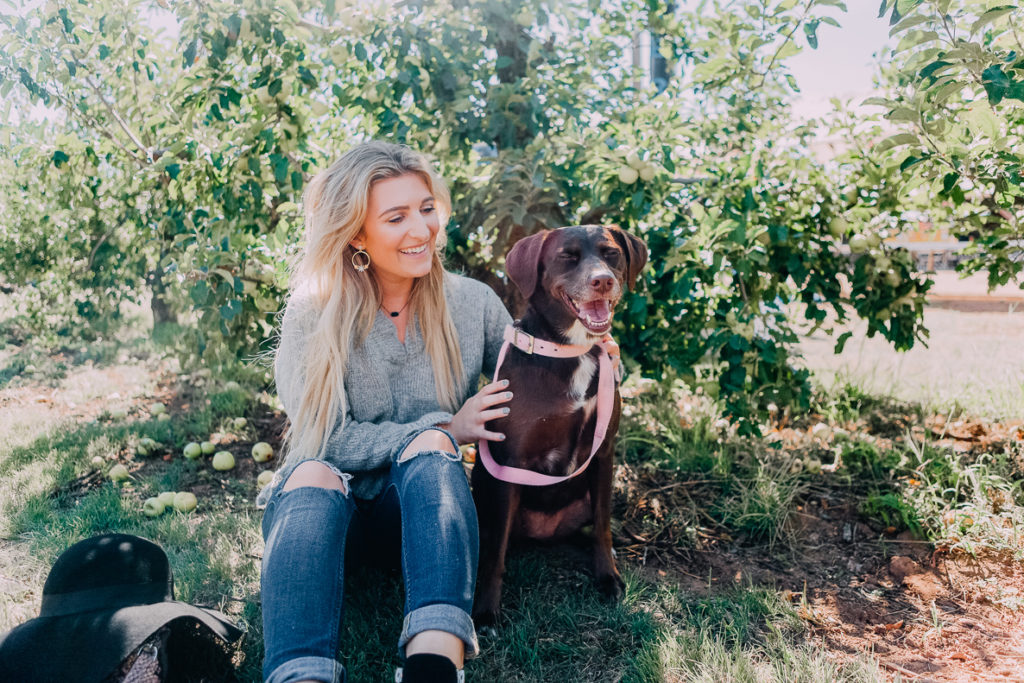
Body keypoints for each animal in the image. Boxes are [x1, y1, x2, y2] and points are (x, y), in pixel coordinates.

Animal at [471, 223, 647, 626]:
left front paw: (607, 577)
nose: (602, 281)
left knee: (594, 525)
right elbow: (494, 554)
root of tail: (542, 534)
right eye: (567, 256)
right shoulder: (511, 463)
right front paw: (486, 612)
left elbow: (602, 528)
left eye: (610, 253)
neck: (572, 350)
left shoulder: (604, 452)